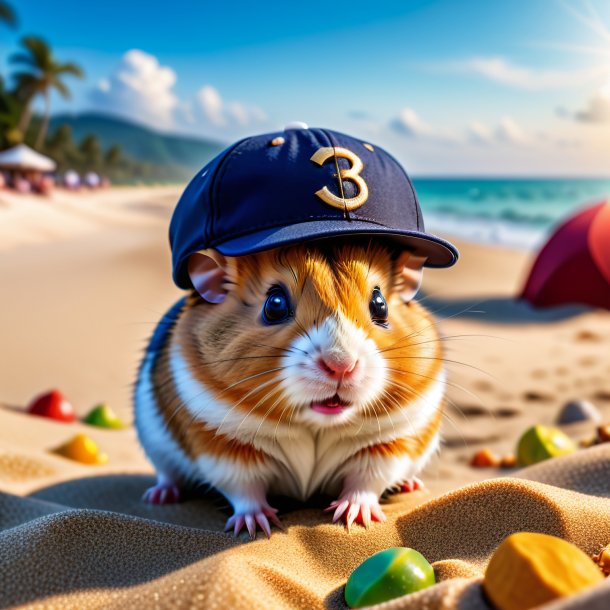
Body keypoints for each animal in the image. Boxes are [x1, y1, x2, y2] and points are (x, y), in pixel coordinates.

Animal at [135, 240, 444, 536]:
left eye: (380, 304)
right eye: (275, 304)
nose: (341, 365)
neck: (316, 426)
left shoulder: (388, 444)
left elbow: (366, 482)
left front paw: (355, 518)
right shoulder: (223, 447)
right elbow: (245, 490)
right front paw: (256, 526)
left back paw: (412, 485)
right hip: (158, 449)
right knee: (169, 475)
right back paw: (159, 496)